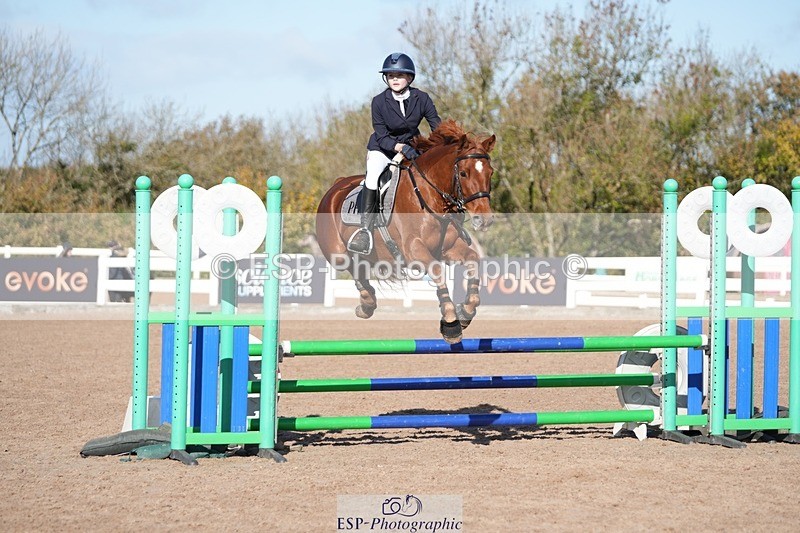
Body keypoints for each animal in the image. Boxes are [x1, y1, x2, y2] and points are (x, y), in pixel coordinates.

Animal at [316, 120, 496, 344]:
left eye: (490, 173)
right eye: (463, 173)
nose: (484, 219)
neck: (429, 198)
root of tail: (336, 185)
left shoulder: (449, 248)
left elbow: (473, 260)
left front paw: (466, 311)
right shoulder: (414, 250)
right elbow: (437, 272)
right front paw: (451, 324)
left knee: (361, 267)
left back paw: (367, 303)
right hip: (338, 252)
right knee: (352, 266)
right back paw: (366, 303)